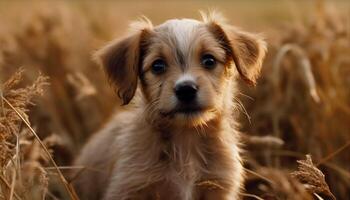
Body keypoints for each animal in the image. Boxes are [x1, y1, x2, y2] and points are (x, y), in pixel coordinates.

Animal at [73, 11, 266, 200]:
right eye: (158, 65)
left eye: (209, 60)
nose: (186, 89)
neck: (186, 140)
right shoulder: (128, 189)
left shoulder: (219, 187)